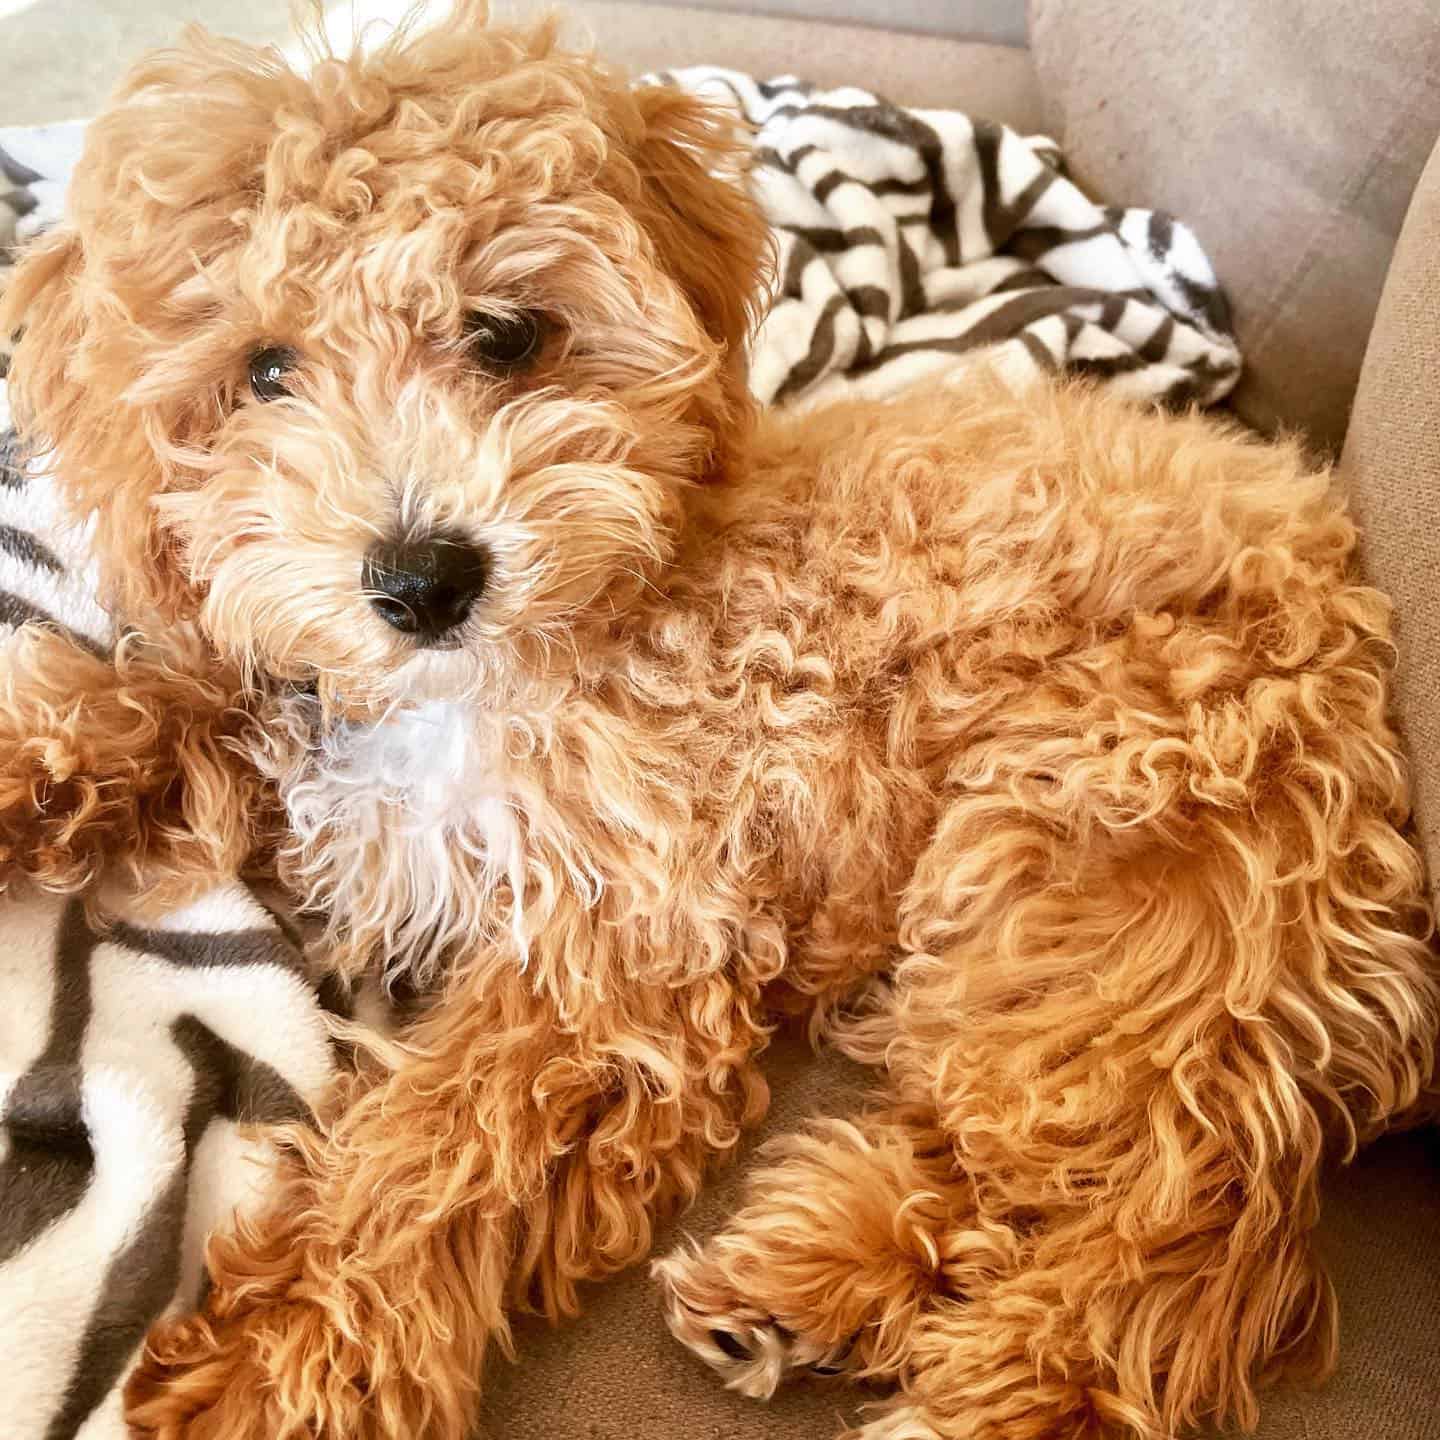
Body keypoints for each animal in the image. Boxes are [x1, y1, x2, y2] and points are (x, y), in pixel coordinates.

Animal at [0, 2, 1434, 1440]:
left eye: (506, 333)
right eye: (264, 371)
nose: (423, 580)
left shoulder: (627, 945)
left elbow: (438, 1143)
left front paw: (278, 1359)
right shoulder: (294, 720)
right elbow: (153, 700)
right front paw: (27, 767)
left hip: (1100, 879)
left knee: (1146, 1252)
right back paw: (806, 1285)